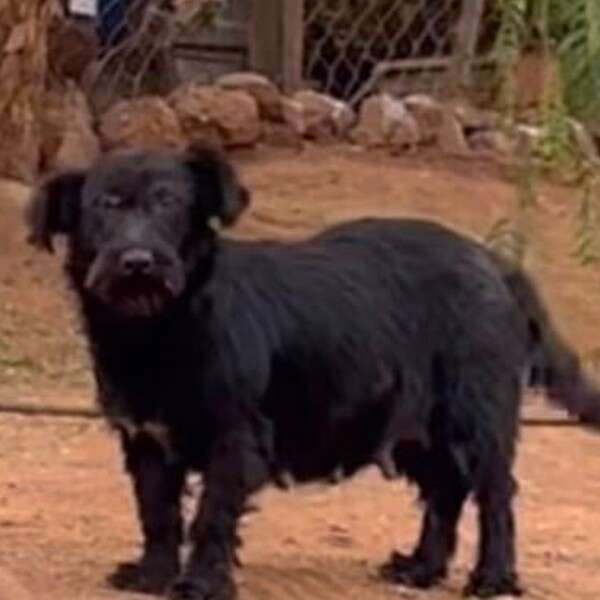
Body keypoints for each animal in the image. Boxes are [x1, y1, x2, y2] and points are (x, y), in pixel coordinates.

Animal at [27, 146, 600, 600]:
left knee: (495, 495)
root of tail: (495, 264)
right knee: (446, 492)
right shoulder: (146, 439)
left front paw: (201, 583)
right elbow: (157, 513)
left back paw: (493, 578)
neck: (159, 327)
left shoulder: (235, 438)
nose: (138, 262)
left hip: (474, 417)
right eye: (104, 206)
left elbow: (212, 514)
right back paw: (422, 568)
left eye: (170, 203)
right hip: (416, 428)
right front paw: (153, 575)